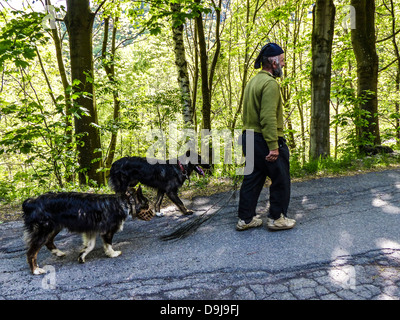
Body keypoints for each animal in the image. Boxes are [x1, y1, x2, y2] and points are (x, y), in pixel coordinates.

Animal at [23, 188, 152, 276]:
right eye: (147, 204)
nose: (154, 212)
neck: (124, 202)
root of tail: (31, 202)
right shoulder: (107, 231)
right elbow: (108, 245)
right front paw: (112, 254)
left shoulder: (91, 230)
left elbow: (90, 246)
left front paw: (82, 256)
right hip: (44, 230)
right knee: (31, 253)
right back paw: (35, 270)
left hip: (54, 227)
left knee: (49, 241)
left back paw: (58, 253)